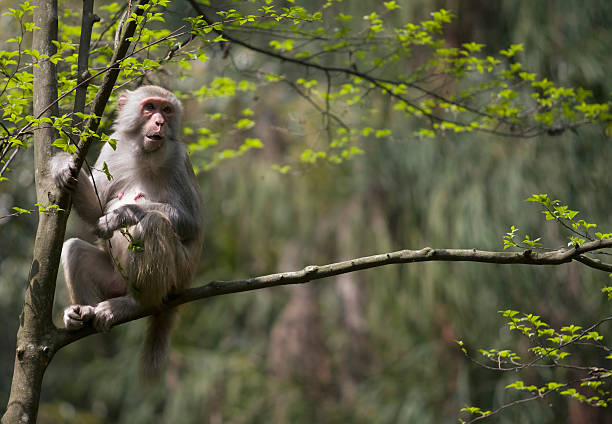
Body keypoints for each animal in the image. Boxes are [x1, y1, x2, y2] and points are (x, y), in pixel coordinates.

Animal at [50, 86, 203, 378]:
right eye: (150, 107)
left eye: (167, 110)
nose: (160, 122)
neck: (145, 153)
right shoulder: (113, 147)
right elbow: (96, 208)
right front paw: (62, 165)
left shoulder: (179, 159)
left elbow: (192, 223)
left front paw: (122, 214)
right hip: (115, 278)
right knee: (74, 248)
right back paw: (83, 313)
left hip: (179, 274)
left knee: (154, 223)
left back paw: (137, 305)